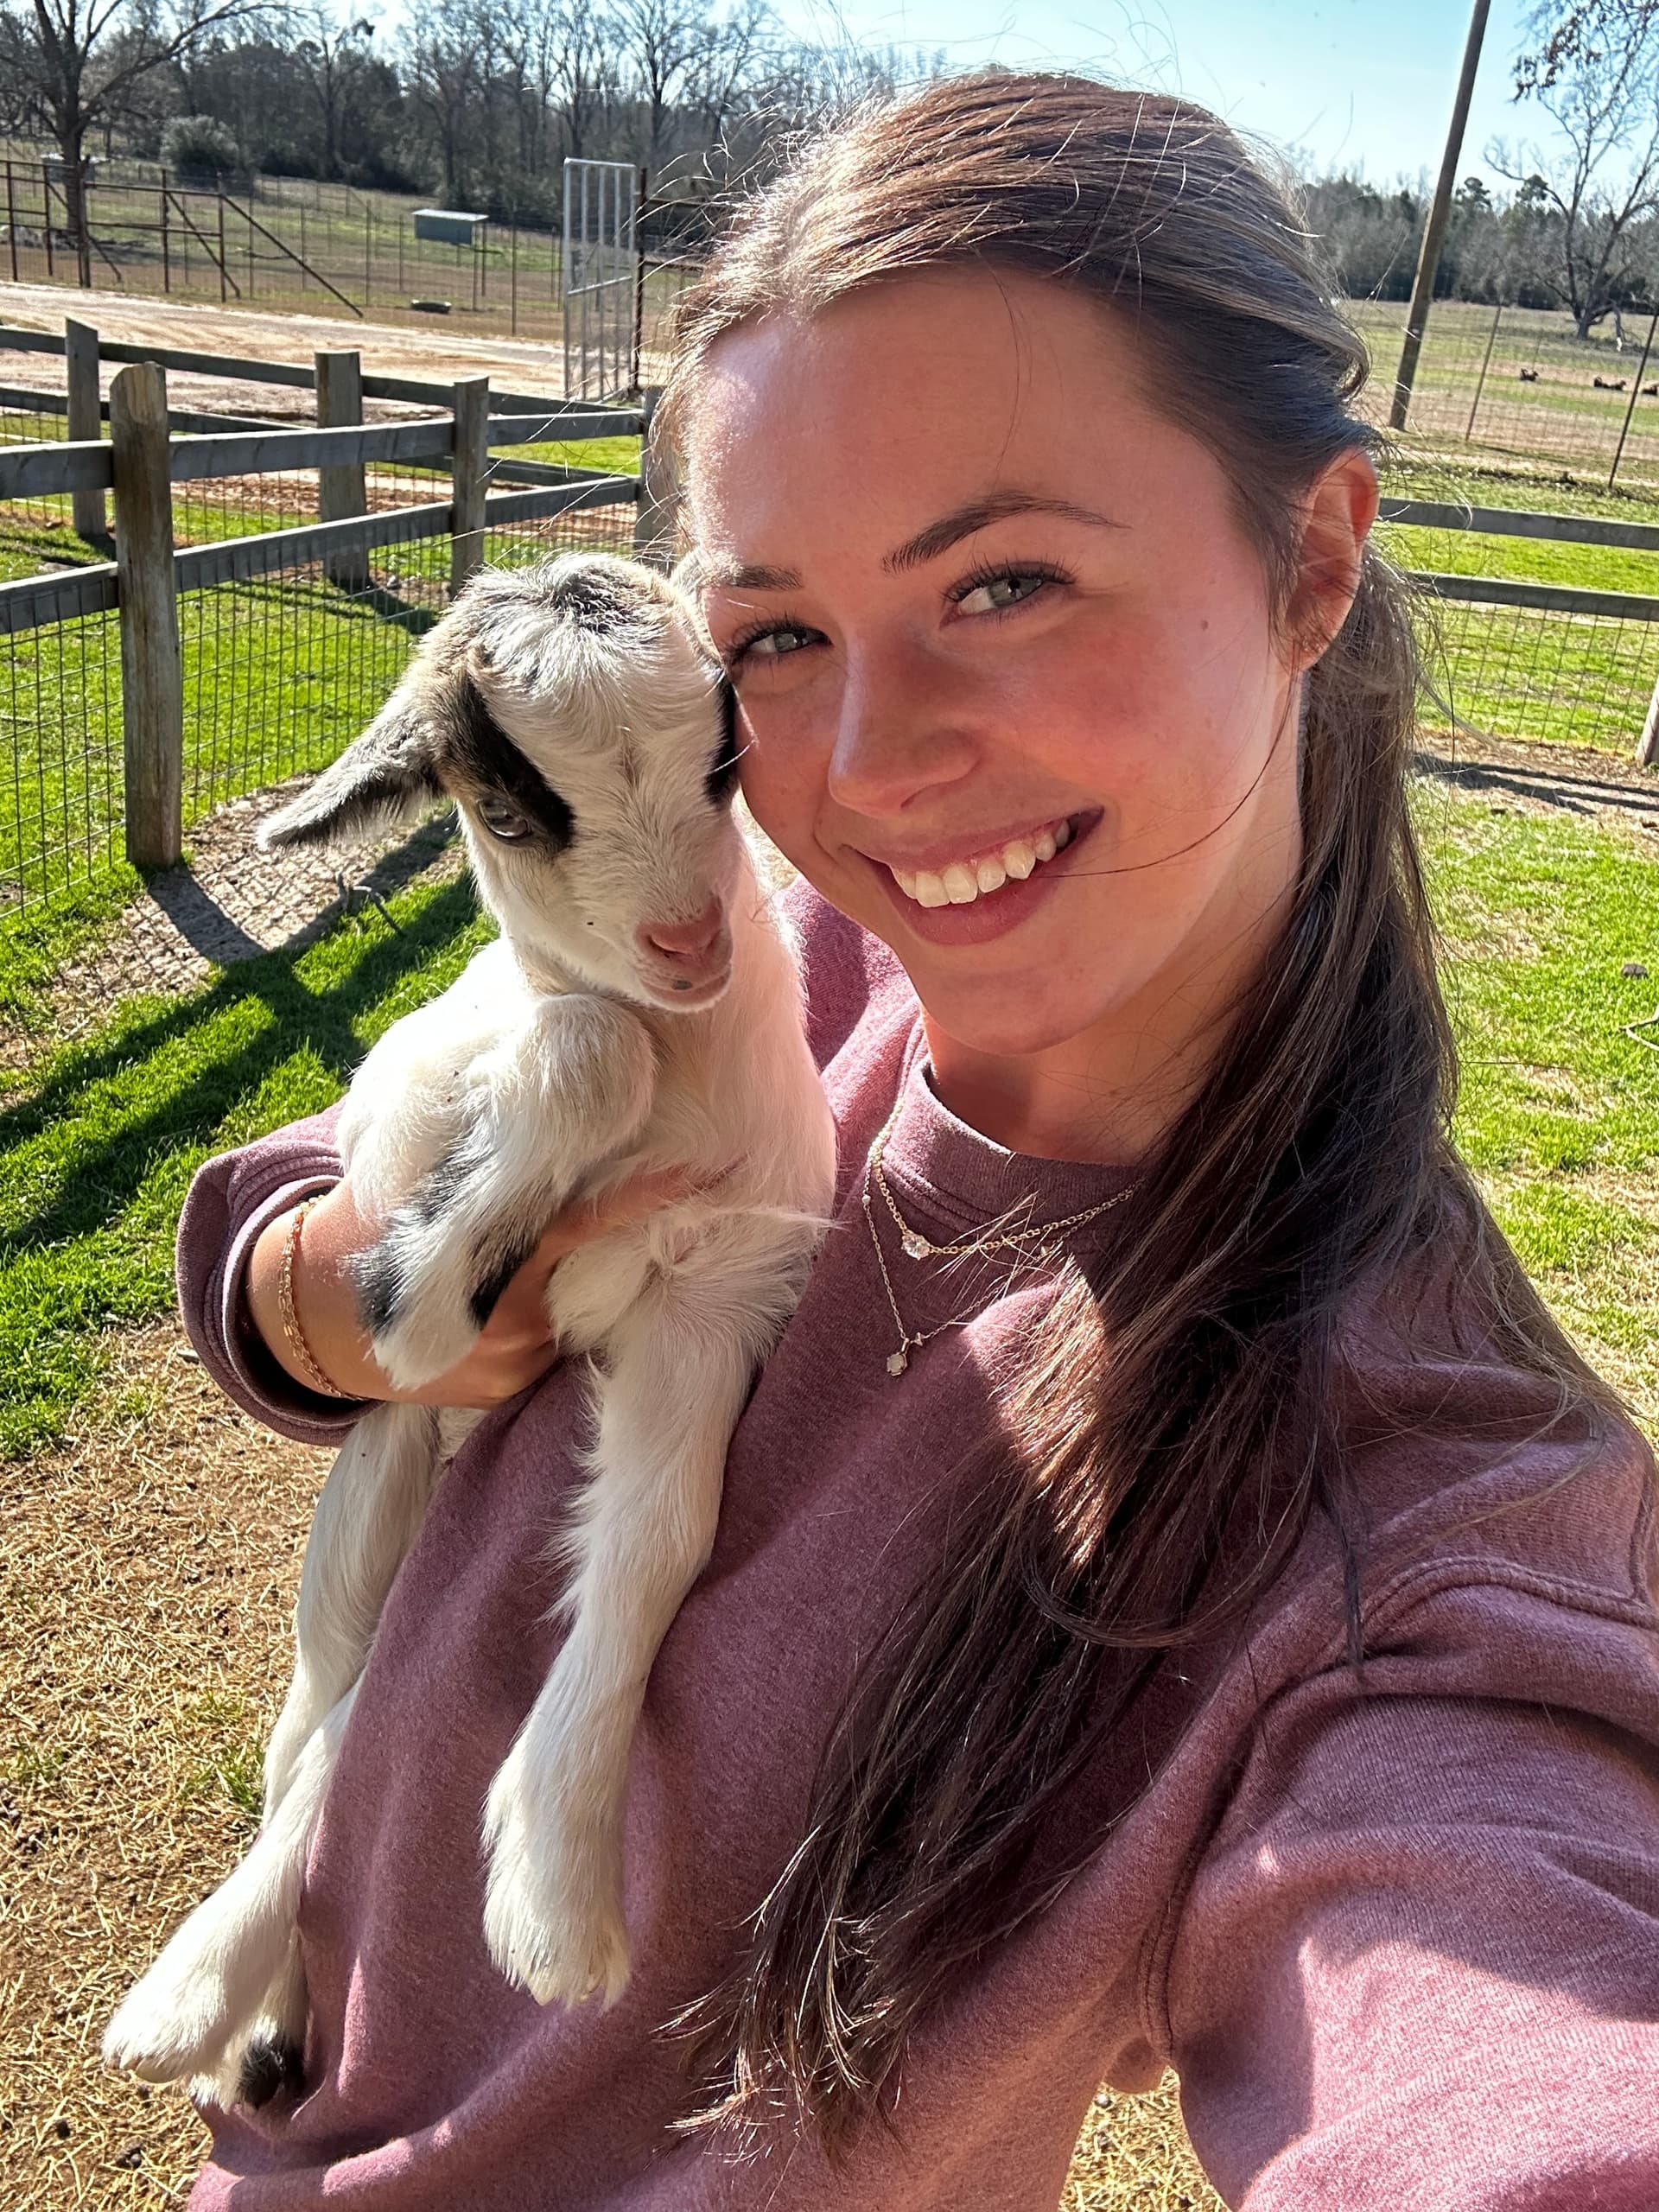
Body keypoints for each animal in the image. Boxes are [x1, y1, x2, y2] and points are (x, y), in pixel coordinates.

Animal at [102, 552, 837, 2101]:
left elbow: (659, 1539)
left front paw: (556, 1902)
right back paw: (201, 2010)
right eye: (507, 809)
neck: (684, 1086)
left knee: (348, 1725)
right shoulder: (388, 1133)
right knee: (319, 1720)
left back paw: (253, 2018)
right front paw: (425, 1294)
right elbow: (589, 1047)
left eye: (725, 756)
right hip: (364, 1500)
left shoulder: (711, 1299)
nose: (689, 943)